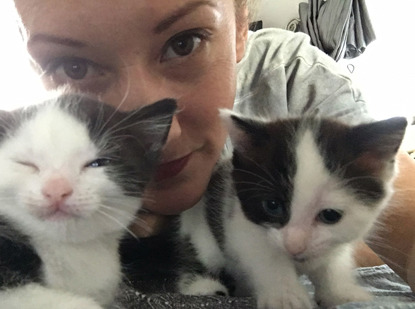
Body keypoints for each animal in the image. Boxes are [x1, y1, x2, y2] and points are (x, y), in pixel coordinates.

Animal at [177, 110, 408, 308]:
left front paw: (341, 292)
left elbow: (333, 262)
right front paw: (285, 296)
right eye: (272, 205)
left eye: (330, 215)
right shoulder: (237, 219)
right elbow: (264, 253)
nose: (295, 246)